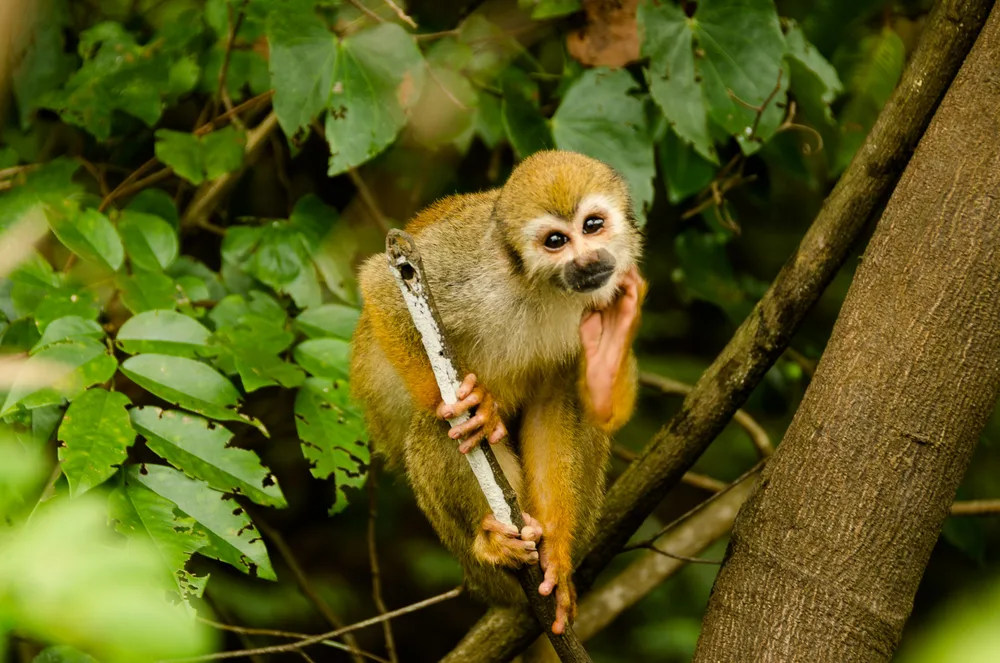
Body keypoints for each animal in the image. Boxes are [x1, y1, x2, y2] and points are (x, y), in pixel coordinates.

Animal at [349, 150, 645, 635]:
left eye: (593, 226)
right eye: (556, 241)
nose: (588, 261)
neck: (540, 285)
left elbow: (558, 405)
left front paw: (556, 558)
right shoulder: (468, 266)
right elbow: (382, 284)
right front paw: (467, 407)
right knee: (434, 428)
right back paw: (489, 541)